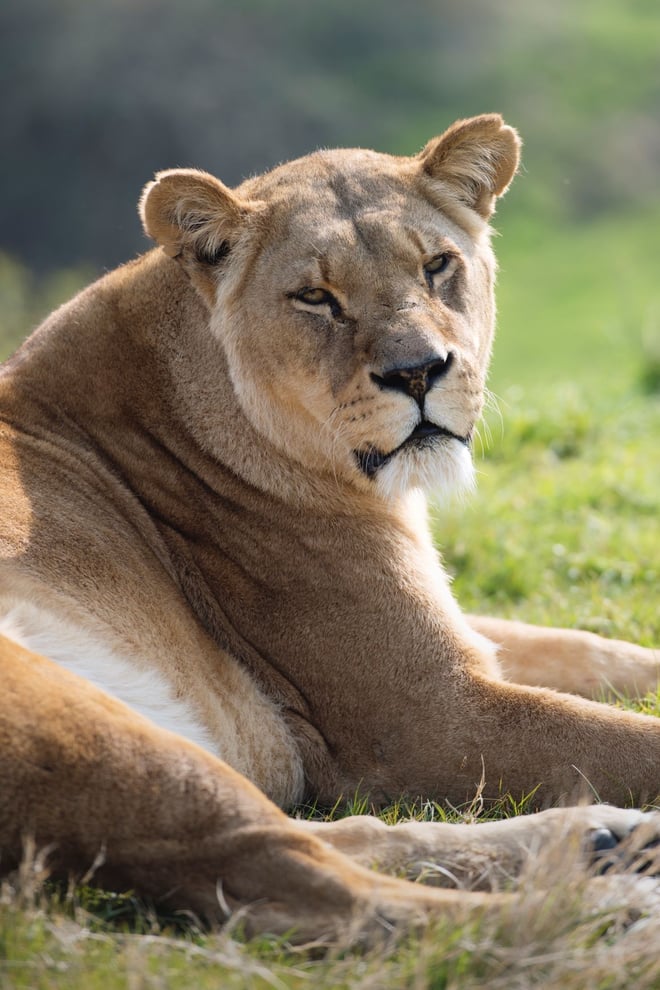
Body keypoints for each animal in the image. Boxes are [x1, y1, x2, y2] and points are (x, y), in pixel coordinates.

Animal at [1, 114, 659, 942]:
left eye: (437, 265)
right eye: (316, 297)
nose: (418, 371)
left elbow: (594, 649)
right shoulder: (426, 717)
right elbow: (635, 740)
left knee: (341, 839)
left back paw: (603, 840)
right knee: (300, 881)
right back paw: (611, 911)